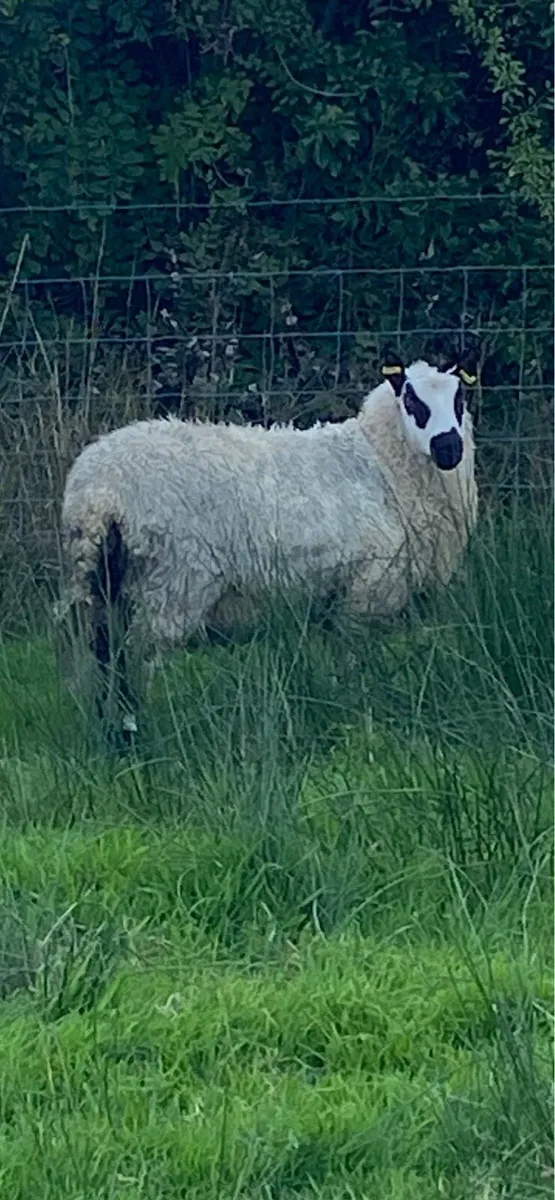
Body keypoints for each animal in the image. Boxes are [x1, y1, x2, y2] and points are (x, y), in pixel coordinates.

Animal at [56, 349, 478, 746]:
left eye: (460, 398)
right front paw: (357, 710)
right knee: (134, 659)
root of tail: (98, 493)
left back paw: (109, 730)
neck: (380, 464)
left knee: (104, 654)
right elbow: (353, 664)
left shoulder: (339, 600)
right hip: (172, 583)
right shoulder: (365, 590)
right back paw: (135, 731)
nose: (448, 448)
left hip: (102, 583)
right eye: (412, 400)